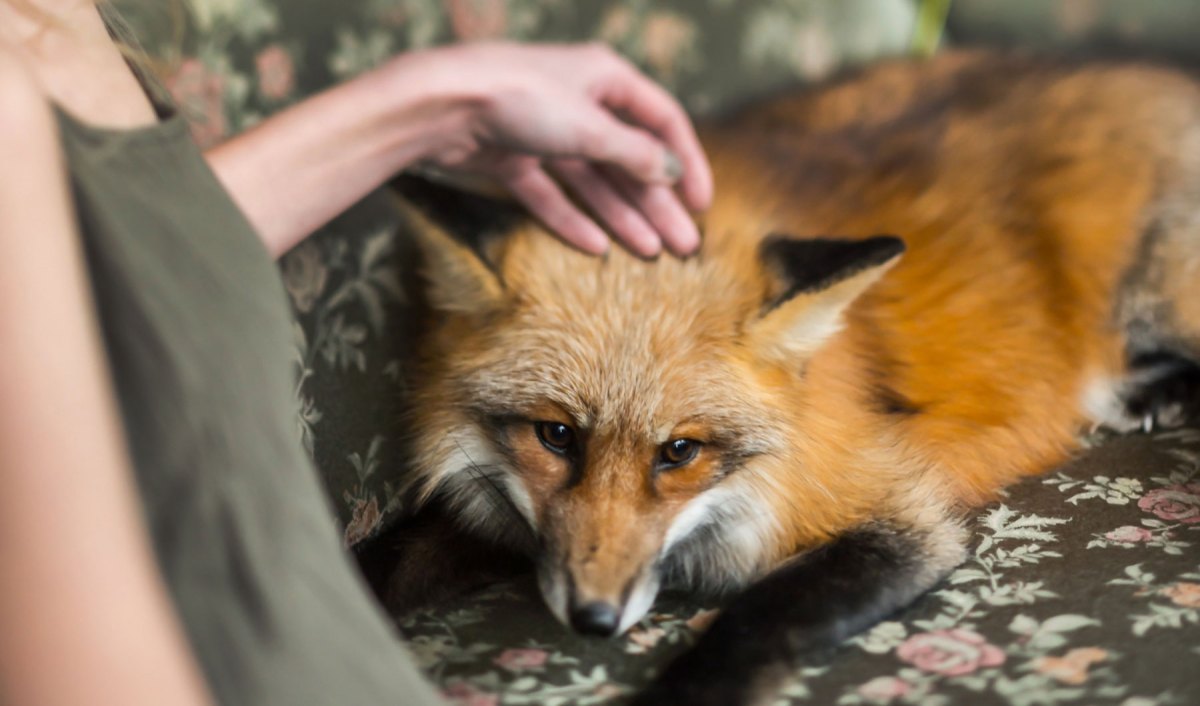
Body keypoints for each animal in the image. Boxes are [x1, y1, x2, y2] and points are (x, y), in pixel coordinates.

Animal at [364, 51, 1200, 706]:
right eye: (556, 436)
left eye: (680, 452)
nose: (593, 620)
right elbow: (393, 554)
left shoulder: (900, 508)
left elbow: (756, 616)